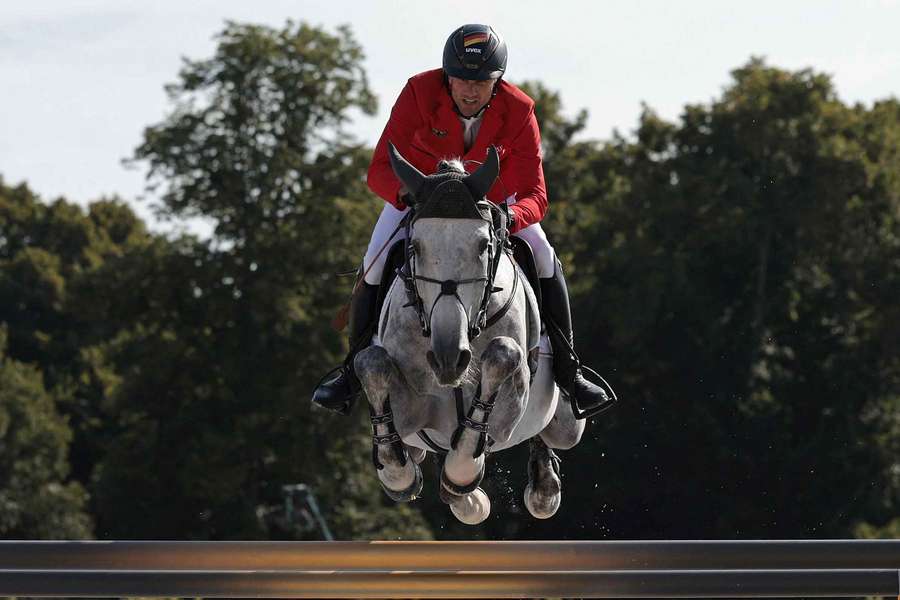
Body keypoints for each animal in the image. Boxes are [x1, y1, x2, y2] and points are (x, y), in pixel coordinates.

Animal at [352, 143, 584, 524]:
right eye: (415, 247)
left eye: (483, 246)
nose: (448, 360)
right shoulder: (410, 412)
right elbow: (372, 365)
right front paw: (402, 475)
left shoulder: (508, 408)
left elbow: (503, 357)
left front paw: (462, 474)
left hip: (566, 424)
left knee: (556, 432)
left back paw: (543, 487)